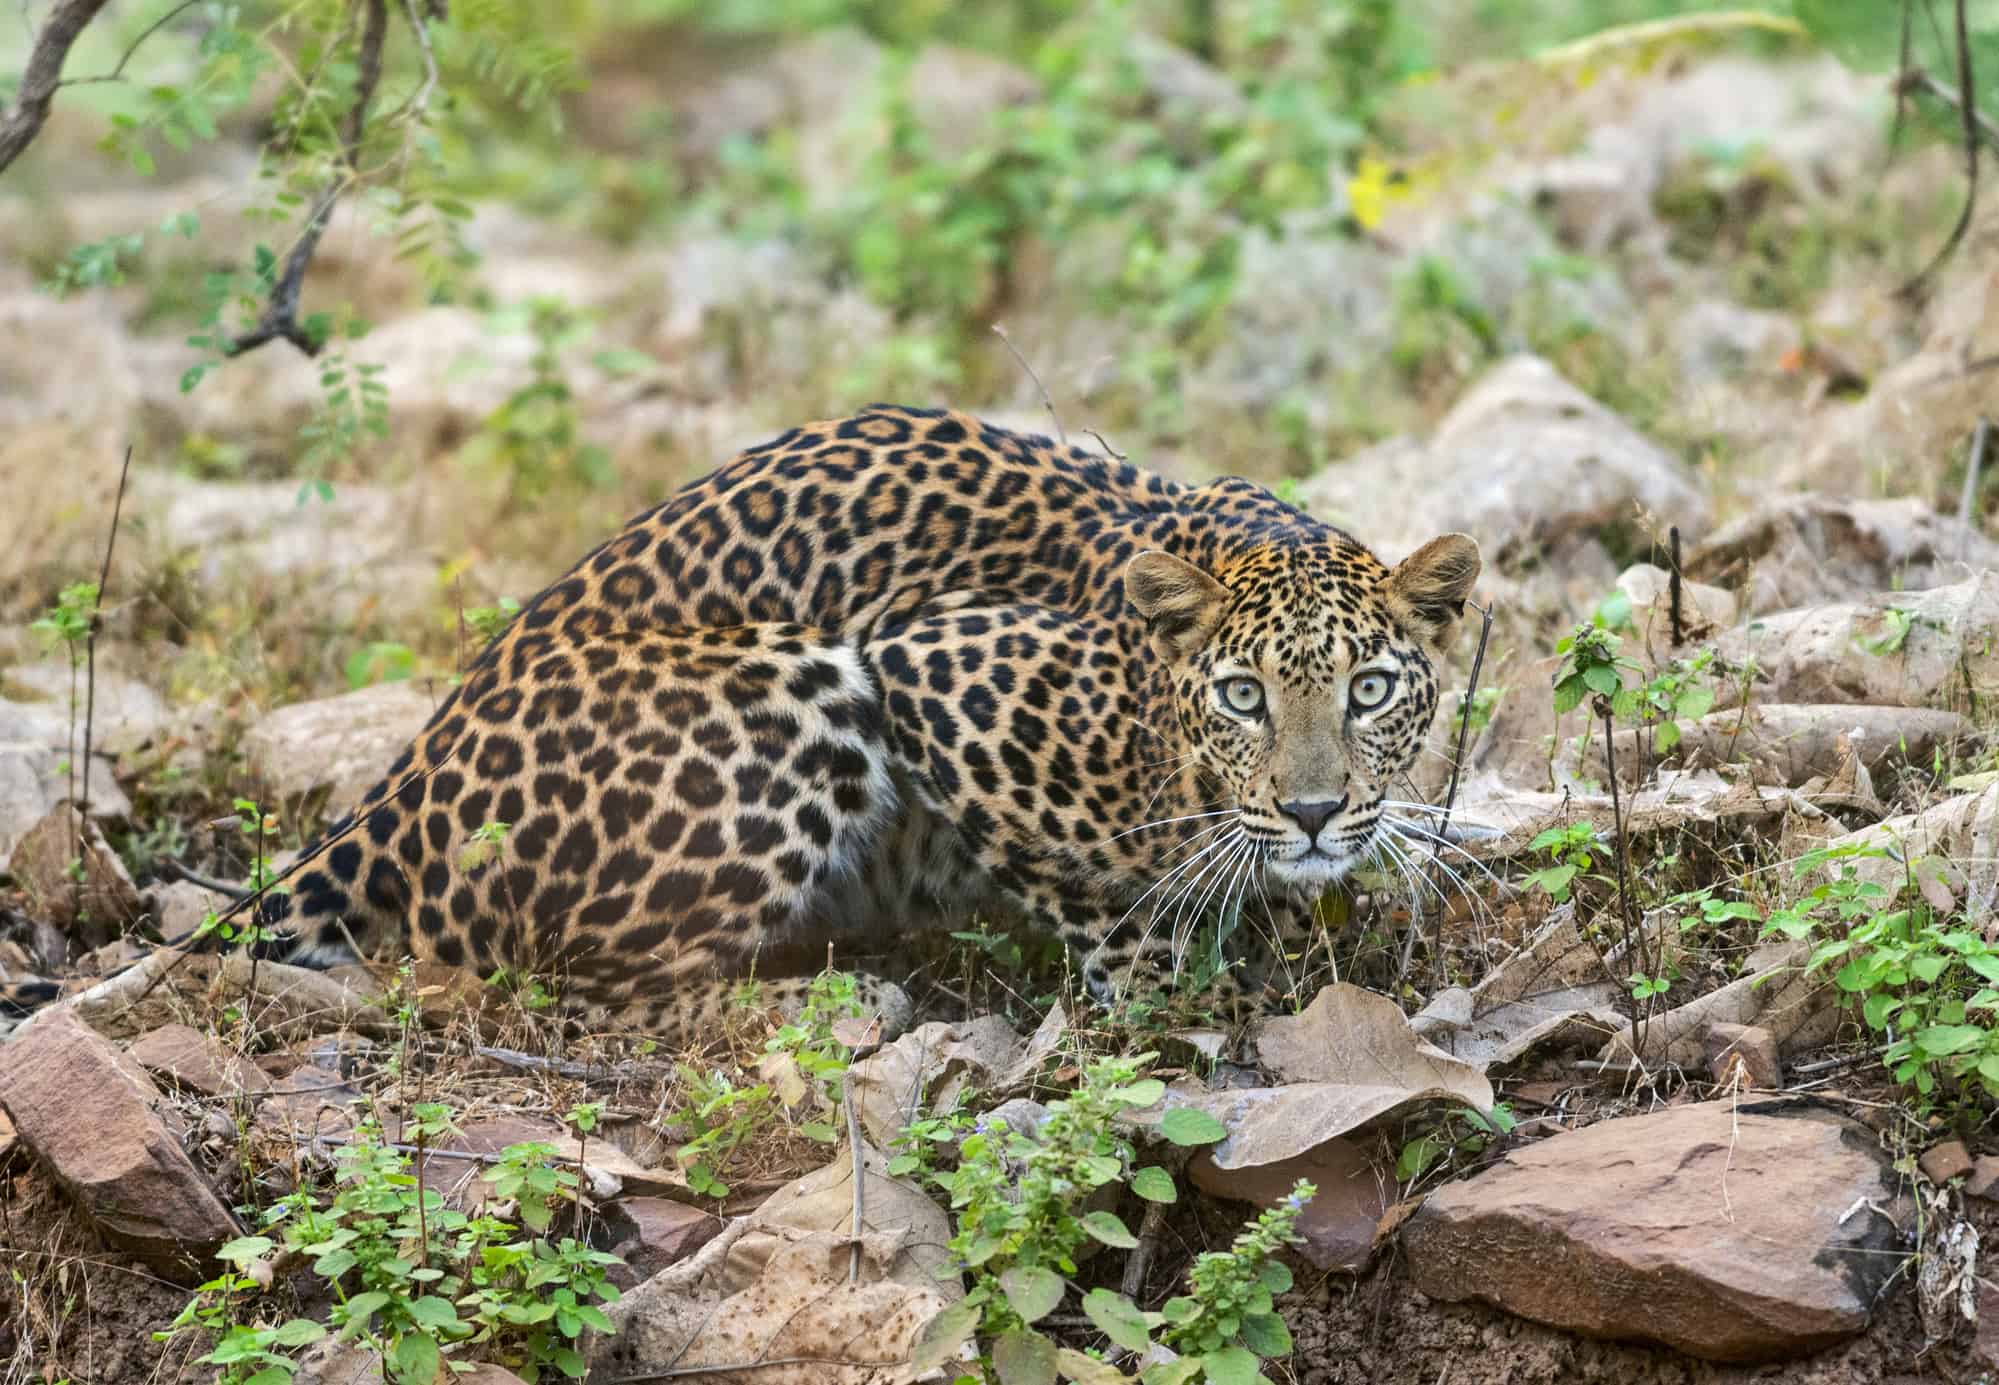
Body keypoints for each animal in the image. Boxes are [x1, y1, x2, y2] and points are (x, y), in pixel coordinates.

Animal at [11, 401, 1487, 1039]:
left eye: (1369, 688)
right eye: (1241, 696)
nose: (1313, 811)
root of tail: (408, 779)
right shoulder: (931, 662)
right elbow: (1107, 909)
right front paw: (1167, 992)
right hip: (796, 689)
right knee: (582, 988)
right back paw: (842, 996)